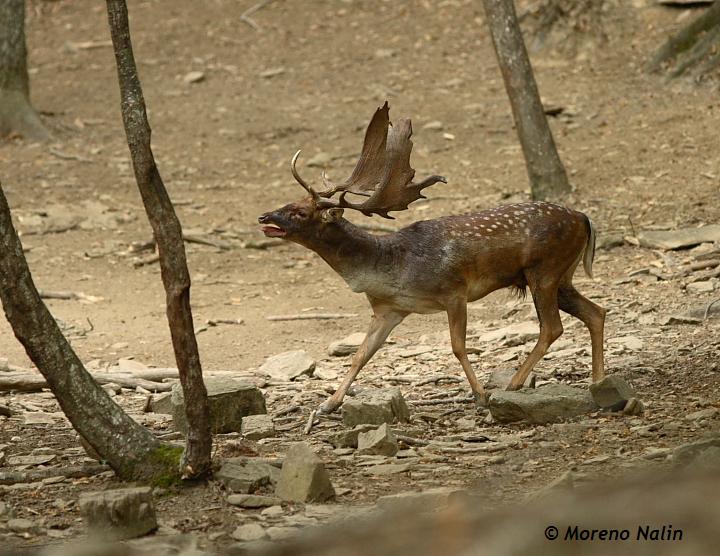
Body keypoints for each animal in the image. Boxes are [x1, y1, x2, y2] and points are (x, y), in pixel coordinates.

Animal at [256, 101, 604, 412]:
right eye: (289, 201)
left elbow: (458, 346)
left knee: (553, 327)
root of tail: (584, 217)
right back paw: (598, 381)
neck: (391, 266)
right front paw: (328, 404)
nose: (264, 216)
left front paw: (480, 395)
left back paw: (515, 384)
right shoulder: (389, 309)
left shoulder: (454, 291)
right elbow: (361, 354)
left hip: (544, 270)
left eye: (300, 212)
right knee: (595, 312)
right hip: (561, 275)